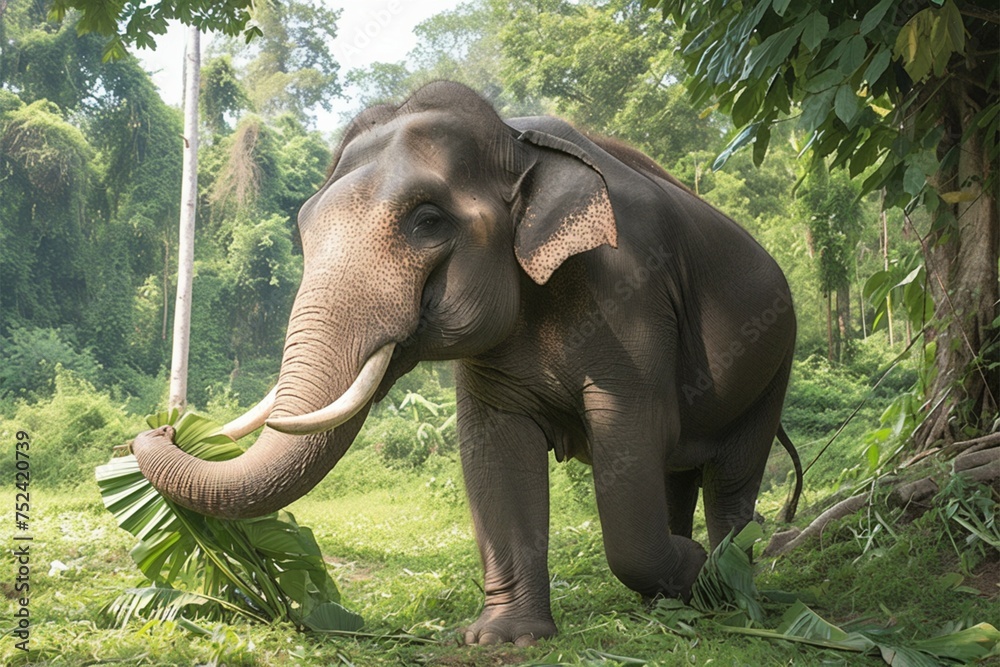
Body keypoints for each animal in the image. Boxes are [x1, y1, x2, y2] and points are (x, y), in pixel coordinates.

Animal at [133, 81, 802, 646]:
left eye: (428, 221)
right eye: (302, 229)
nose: (162, 427)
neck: (515, 140)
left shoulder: (631, 293)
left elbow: (631, 436)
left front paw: (689, 568)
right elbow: (493, 450)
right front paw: (502, 639)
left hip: (777, 360)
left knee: (731, 474)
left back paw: (722, 582)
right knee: (679, 473)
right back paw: (678, 593)